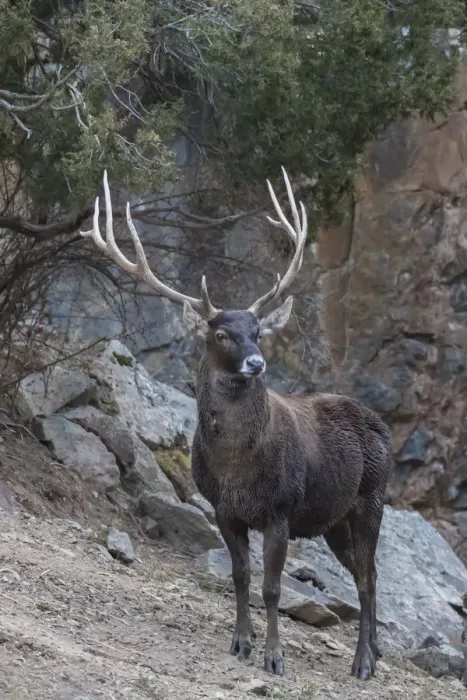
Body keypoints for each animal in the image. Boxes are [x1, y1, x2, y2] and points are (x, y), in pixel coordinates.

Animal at [81, 168, 392, 681]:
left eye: (259, 331)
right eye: (222, 333)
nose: (256, 363)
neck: (237, 468)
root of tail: (381, 425)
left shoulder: (281, 508)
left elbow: (272, 588)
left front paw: (274, 657)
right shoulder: (223, 510)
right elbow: (241, 578)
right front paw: (240, 643)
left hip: (372, 499)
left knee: (367, 578)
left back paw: (363, 662)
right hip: (333, 520)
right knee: (364, 574)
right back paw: (375, 652)